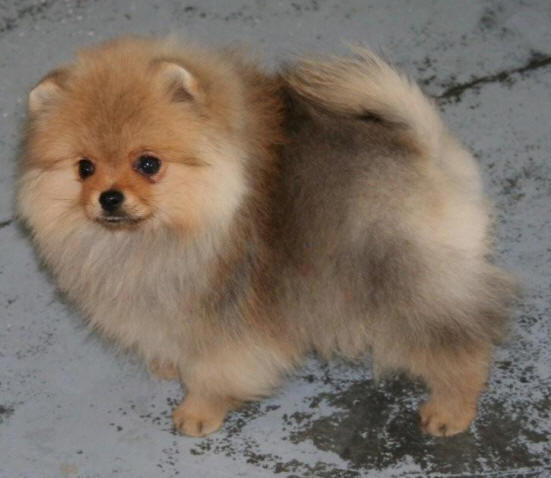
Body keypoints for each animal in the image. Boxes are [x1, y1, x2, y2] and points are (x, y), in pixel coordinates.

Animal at [17, 36, 515, 437]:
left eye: (148, 163)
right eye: (84, 168)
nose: (109, 198)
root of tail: (428, 151)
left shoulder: (225, 320)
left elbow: (214, 373)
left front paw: (199, 411)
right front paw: (166, 363)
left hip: (401, 279)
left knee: (459, 343)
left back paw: (451, 409)